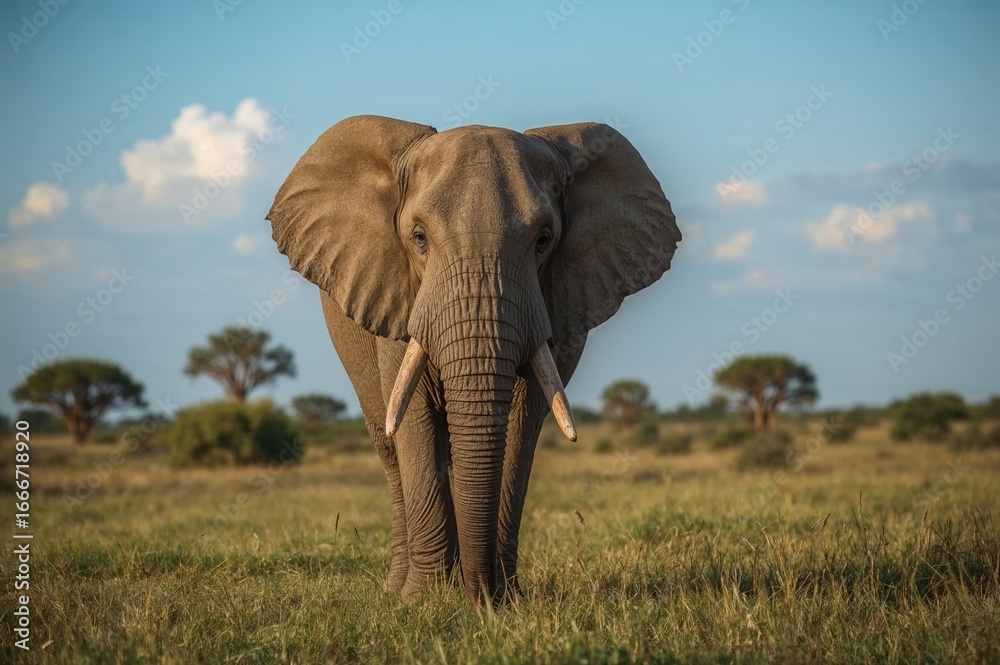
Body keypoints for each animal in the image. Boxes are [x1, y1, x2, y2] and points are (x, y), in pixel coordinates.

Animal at [267, 115, 680, 606]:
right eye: (419, 238)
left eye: (544, 240)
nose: (479, 597)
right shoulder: (402, 300)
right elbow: (414, 420)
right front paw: (422, 600)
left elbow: (522, 422)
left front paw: (505, 602)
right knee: (390, 447)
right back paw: (397, 587)